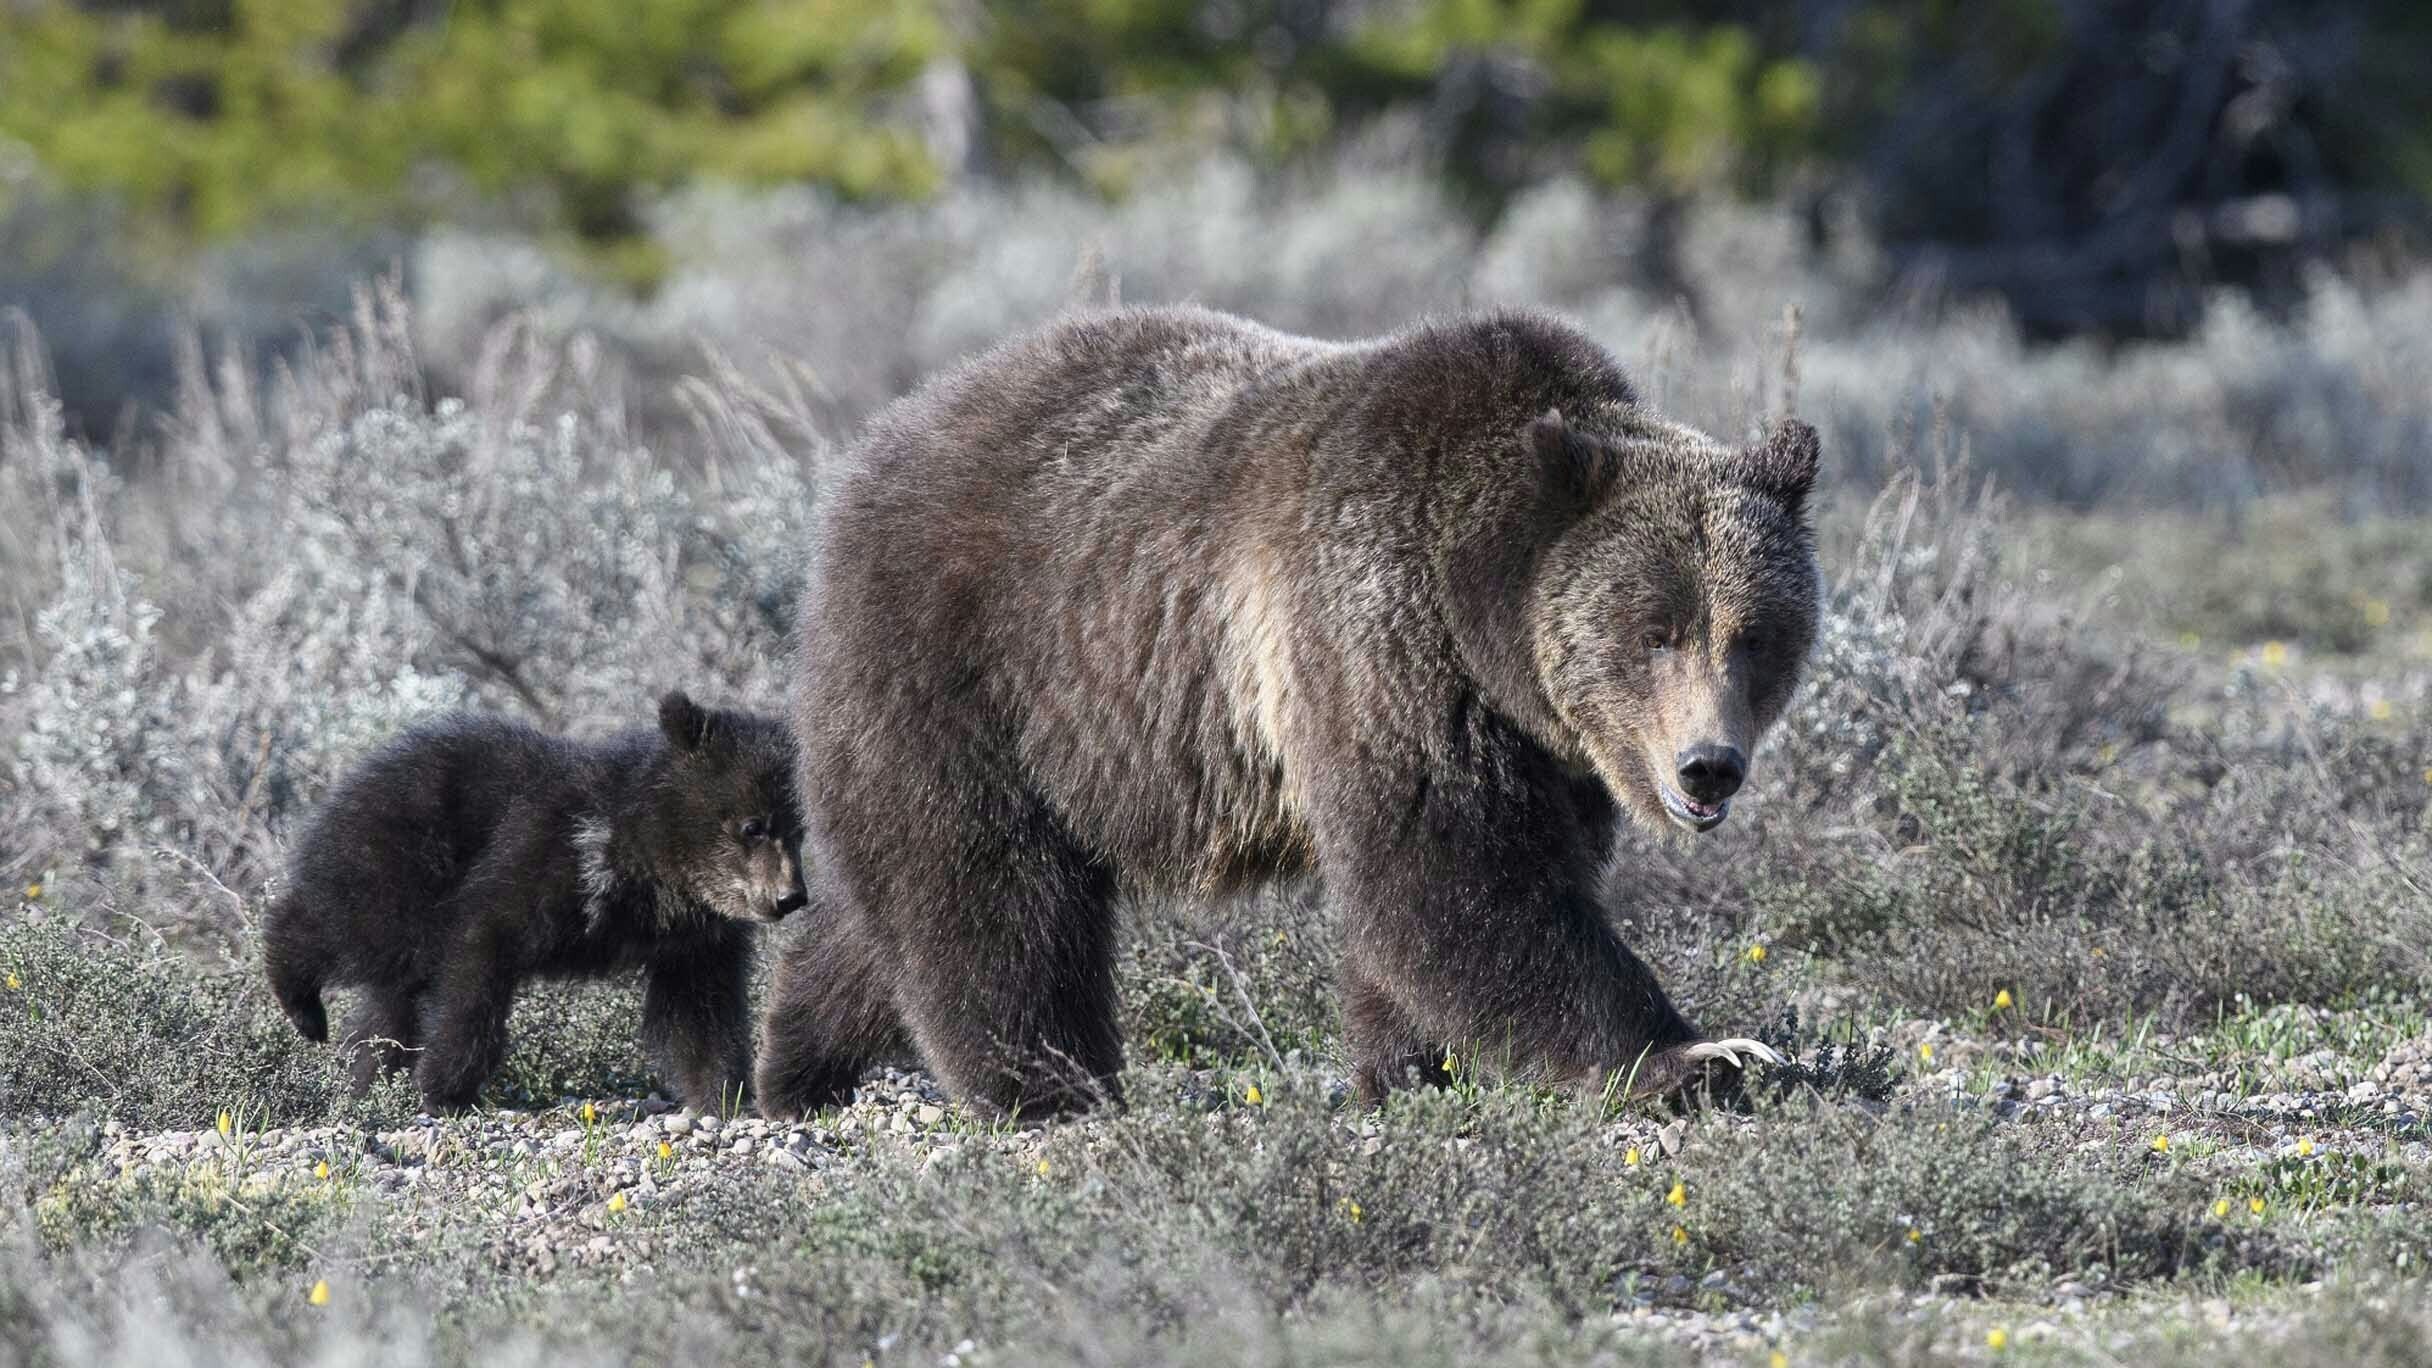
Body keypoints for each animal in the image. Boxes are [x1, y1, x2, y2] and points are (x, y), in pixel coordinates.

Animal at [263, 692, 807, 1113]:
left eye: (799, 829)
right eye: (753, 826)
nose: (791, 897)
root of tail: (358, 771)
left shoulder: (695, 941)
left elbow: (702, 1013)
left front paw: (724, 1095)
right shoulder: (542, 863)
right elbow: (476, 968)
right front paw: (443, 1088)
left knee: (388, 1005)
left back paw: (369, 1079)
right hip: (405, 862)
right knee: (356, 927)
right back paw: (303, 1006)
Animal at [754, 305, 1814, 1120]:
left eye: (1755, 635)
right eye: (1656, 630)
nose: (1707, 764)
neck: (1479, 615)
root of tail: (876, 444)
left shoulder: (1543, 745)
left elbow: (1465, 890)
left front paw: (1410, 1071)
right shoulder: (1376, 638)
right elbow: (1458, 875)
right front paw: (1699, 1057)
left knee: (890, 904)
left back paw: (795, 1064)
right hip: (977, 662)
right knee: (986, 887)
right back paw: (1050, 1088)